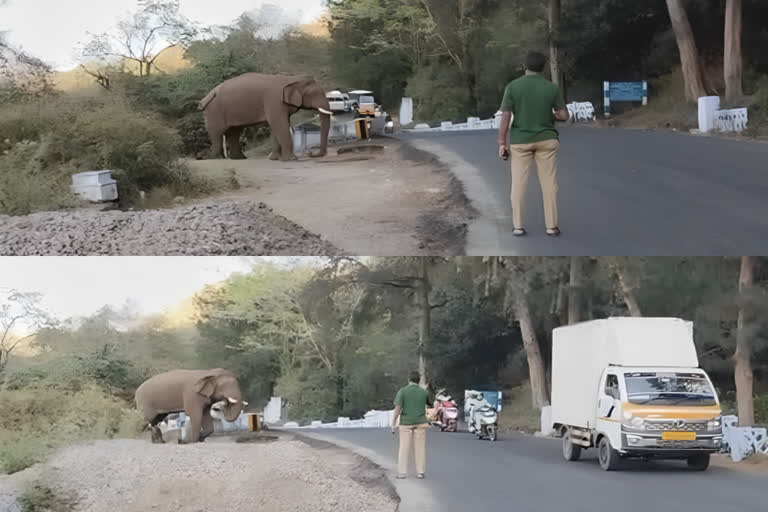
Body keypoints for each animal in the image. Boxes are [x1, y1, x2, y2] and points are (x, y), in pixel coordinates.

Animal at [200, 73, 332, 161]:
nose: (311, 153)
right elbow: (280, 125)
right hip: (214, 110)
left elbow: (276, 126)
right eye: (314, 94)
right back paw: (218, 158)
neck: (290, 78)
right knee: (217, 133)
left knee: (234, 132)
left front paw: (275, 159)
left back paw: (239, 158)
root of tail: (205, 98)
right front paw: (291, 159)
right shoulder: (274, 101)